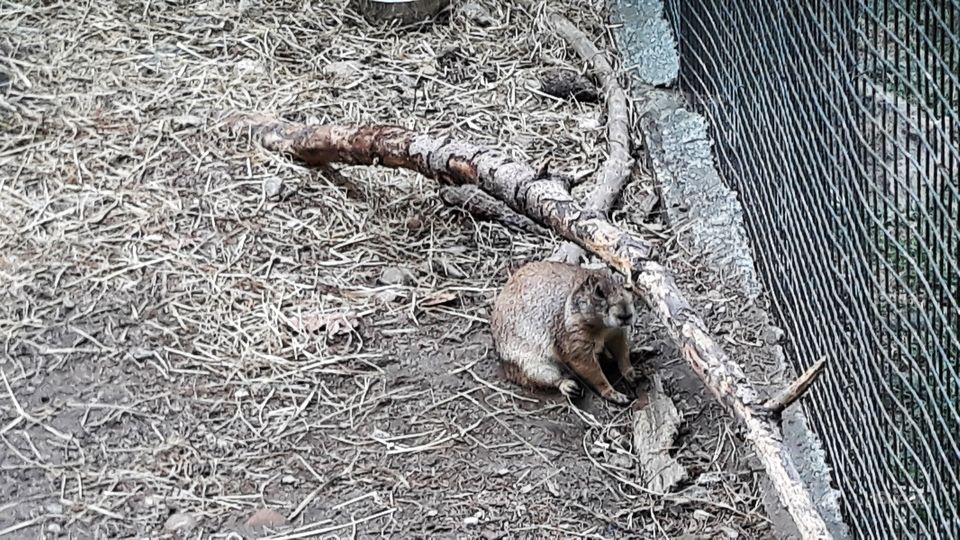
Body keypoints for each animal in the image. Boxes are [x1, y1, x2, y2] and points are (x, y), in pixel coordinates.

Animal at [490, 260, 638, 405]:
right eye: (599, 292)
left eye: (630, 287)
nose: (626, 315)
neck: (603, 327)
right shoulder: (574, 339)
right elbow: (589, 368)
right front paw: (614, 393)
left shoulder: (617, 332)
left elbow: (622, 351)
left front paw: (632, 373)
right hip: (533, 366)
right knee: (545, 380)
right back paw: (568, 386)